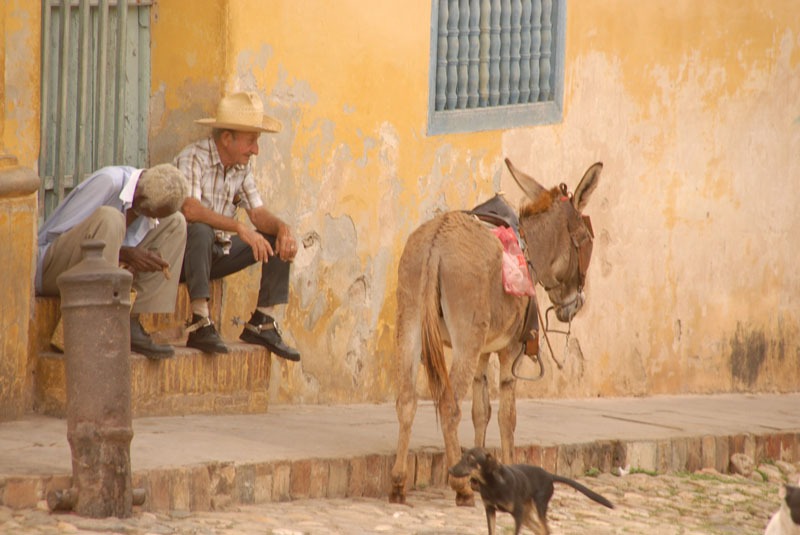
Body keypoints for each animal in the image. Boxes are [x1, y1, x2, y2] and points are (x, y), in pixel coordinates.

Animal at [450, 448, 612, 535]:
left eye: (471, 459)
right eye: (462, 457)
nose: (450, 470)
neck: (492, 484)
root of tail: (548, 475)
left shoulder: (518, 513)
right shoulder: (490, 509)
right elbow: (492, 531)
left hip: (538, 506)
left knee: (545, 530)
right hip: (527, 515)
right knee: (541, 530)